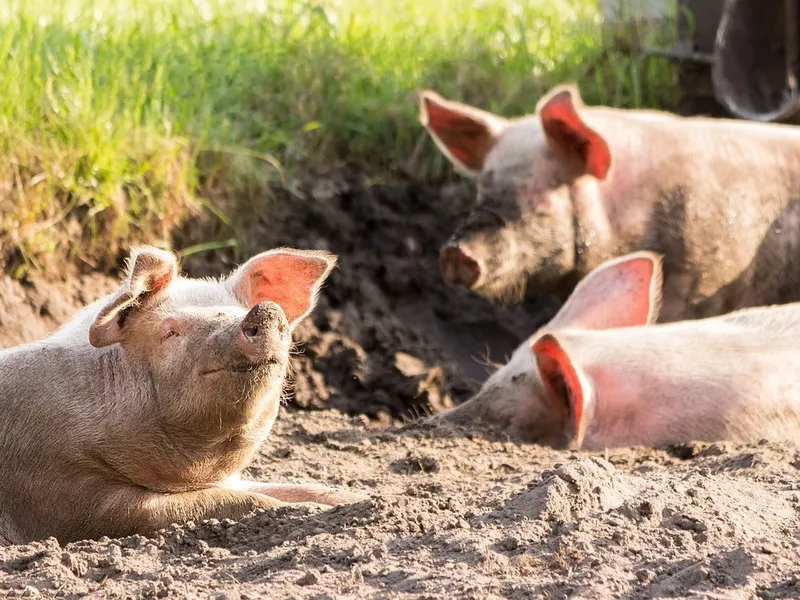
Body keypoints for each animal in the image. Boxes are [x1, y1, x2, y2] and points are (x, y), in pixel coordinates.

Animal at [0, 246, 368, 548]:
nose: (265, 311)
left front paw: (363, 498)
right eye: (171, 332)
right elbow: (234, 502)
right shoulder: (63, 491)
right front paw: (308, 510)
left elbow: (295, 488)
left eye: (238, 309)